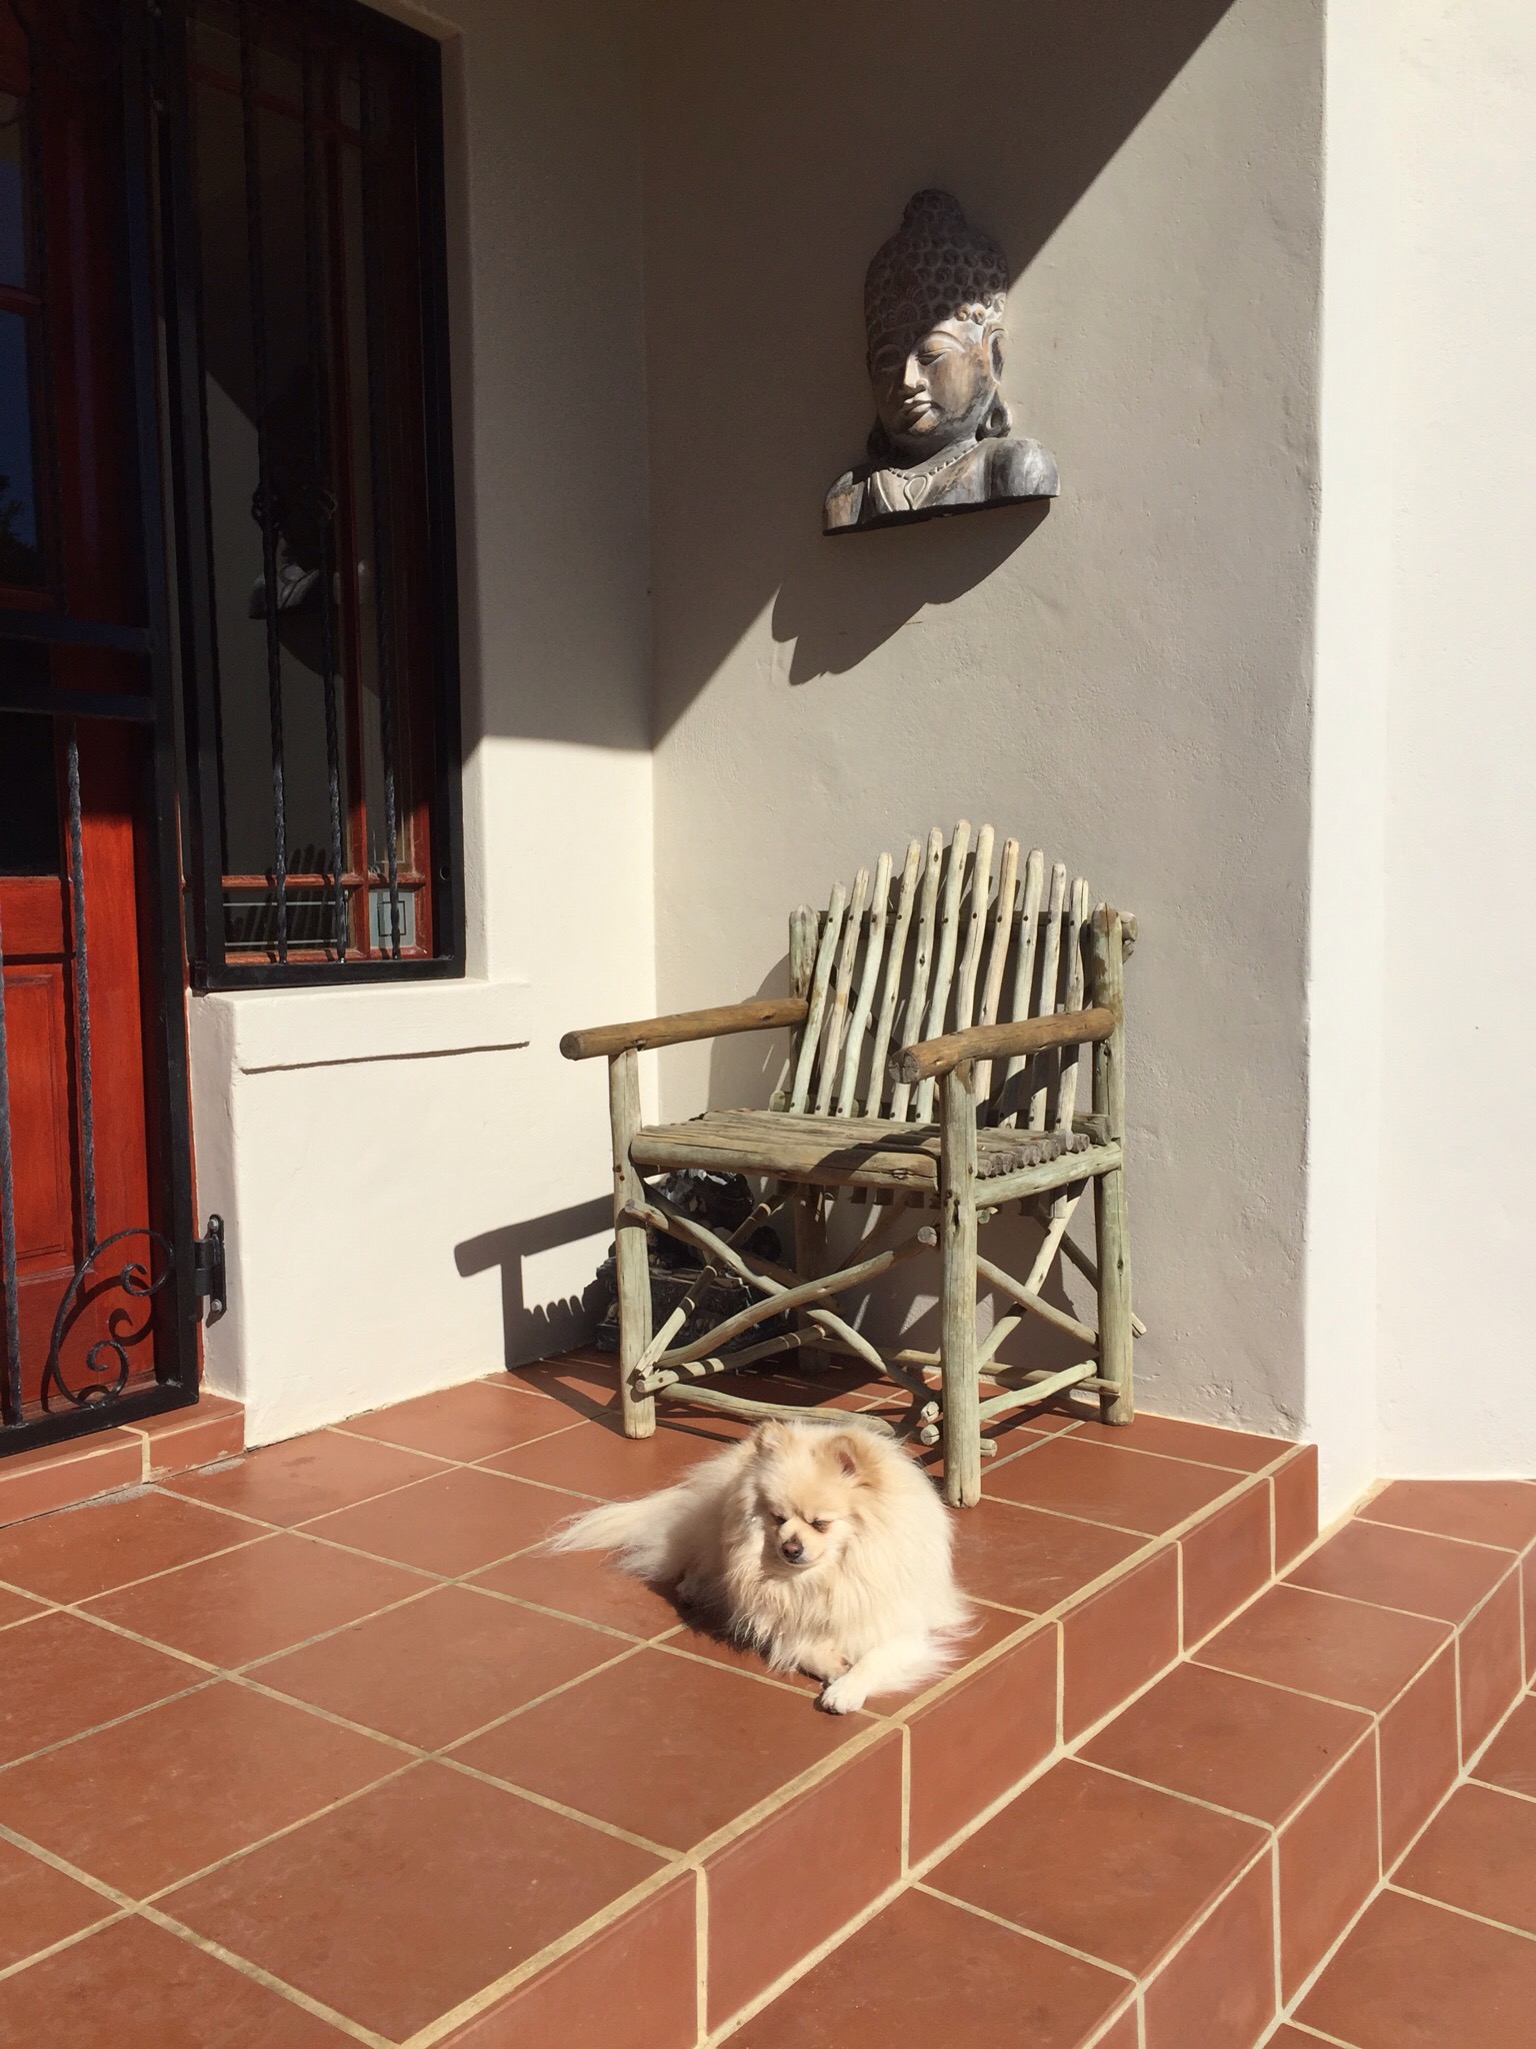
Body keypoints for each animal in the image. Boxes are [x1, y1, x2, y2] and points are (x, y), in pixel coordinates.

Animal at [547, 1417, 972, 1712]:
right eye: (777, 1518)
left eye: (820, 1523)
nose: (790, 1548)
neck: (828, 1578)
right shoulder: (777, 1617)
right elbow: (798, 1644)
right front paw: (834, 1665)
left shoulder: (903, 1629)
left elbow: (875, 1657)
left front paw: (846, 1688)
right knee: (701, 1560)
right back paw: (694, 1586)